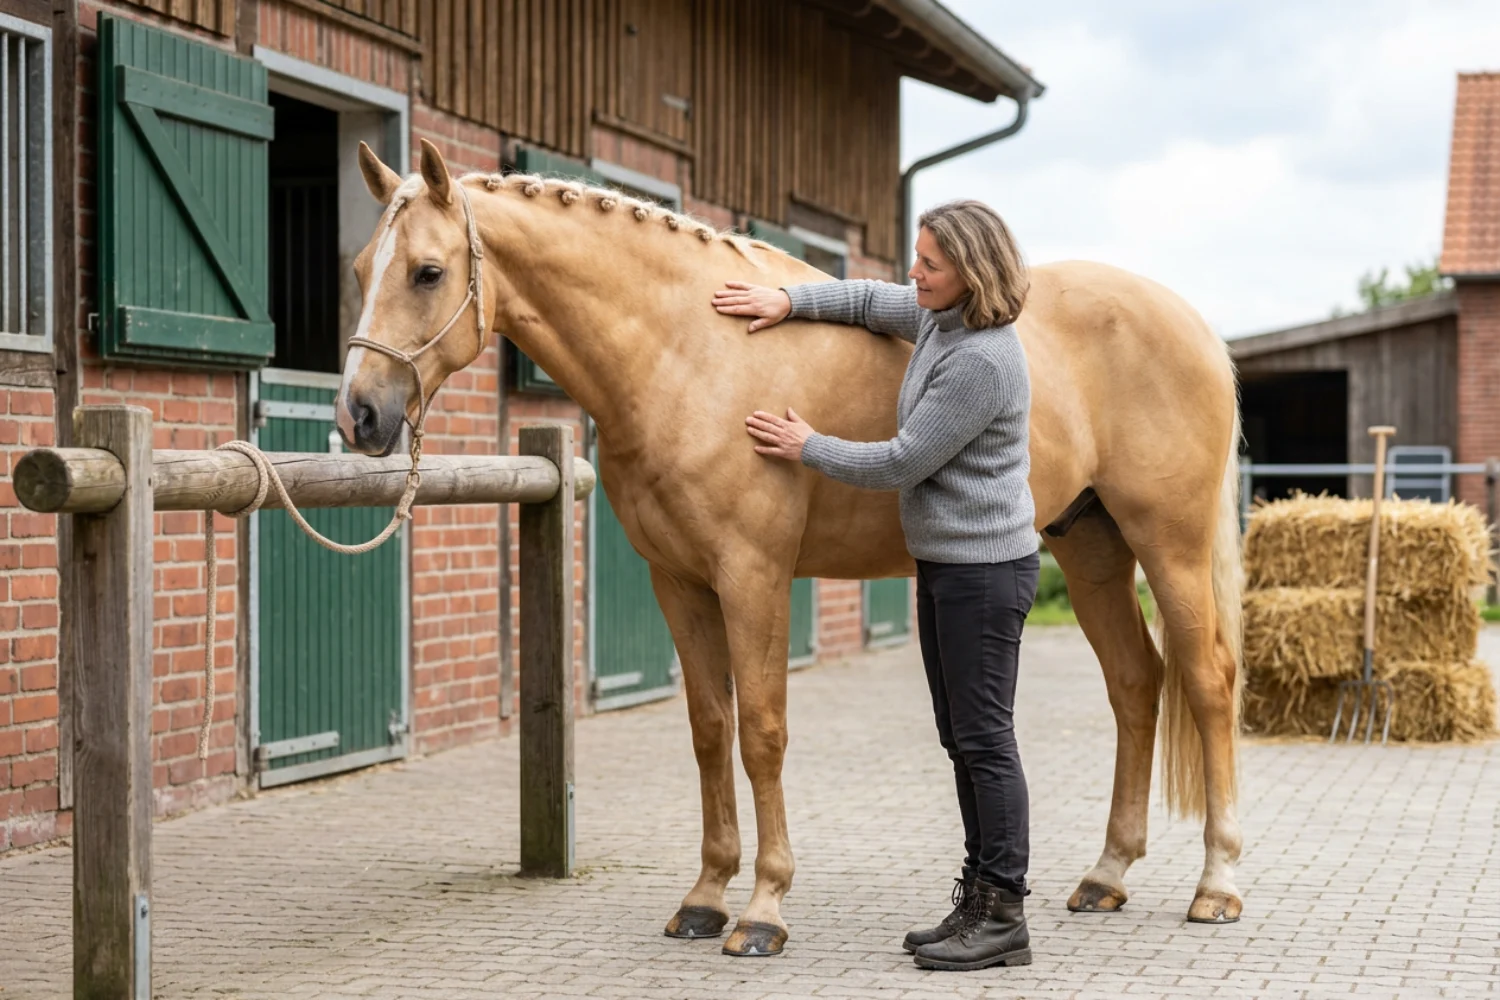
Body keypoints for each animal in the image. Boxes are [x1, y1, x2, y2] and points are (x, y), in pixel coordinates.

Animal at [336, 138, 1245, 957]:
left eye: (427, 272)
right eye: (359, 270)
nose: (360, 417)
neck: (687, 351)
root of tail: (1194, 323)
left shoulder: (753, 575)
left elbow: (762, 733)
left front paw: (764, 910)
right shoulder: (679, 583)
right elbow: (710, 731)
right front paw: (705, 898)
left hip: (1168, 542)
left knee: (1205, 682)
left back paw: (1217, 886)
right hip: (1090, 546)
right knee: (1136, 684)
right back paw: (1106, 875)